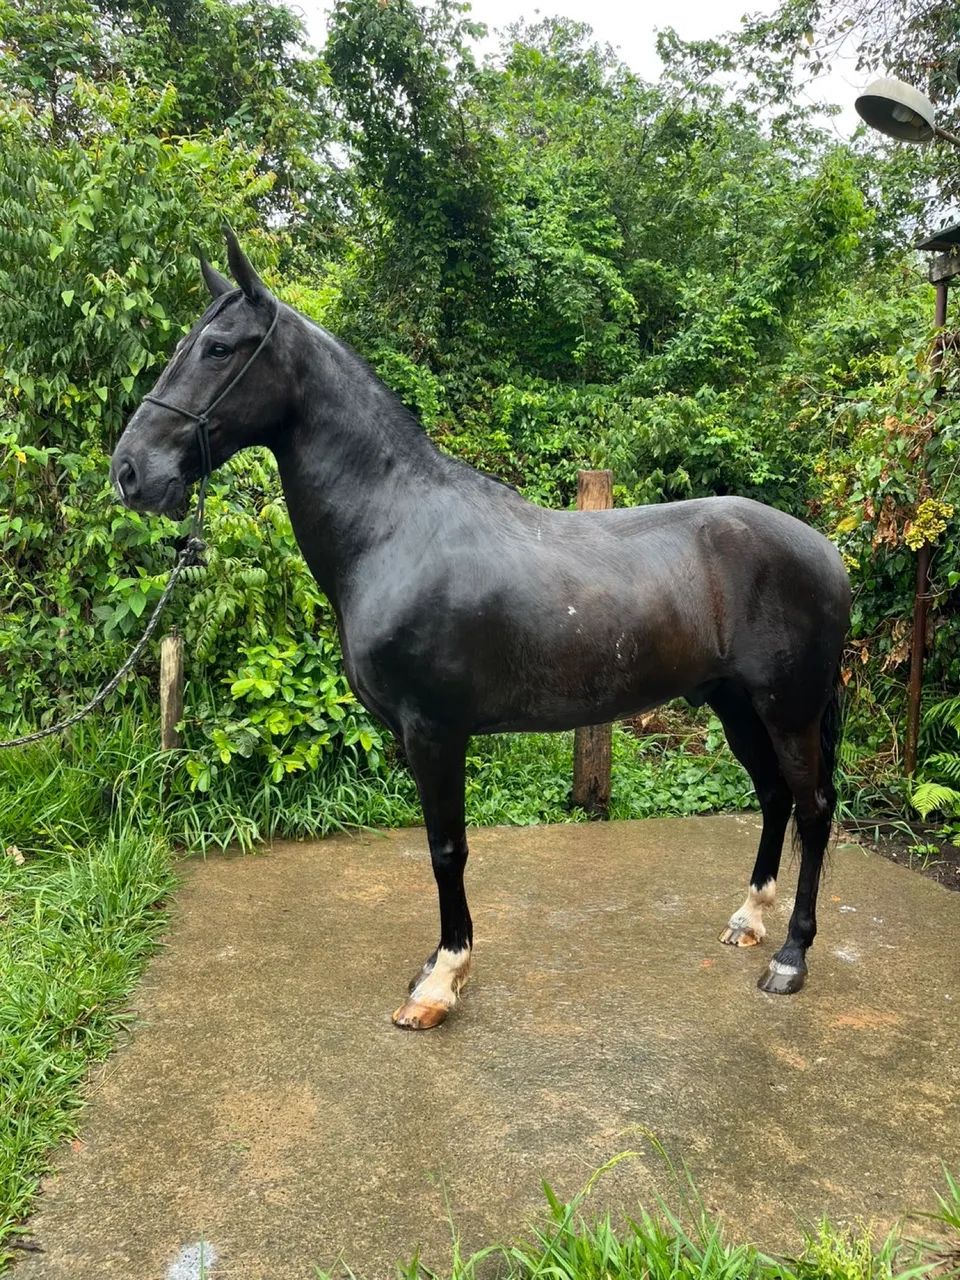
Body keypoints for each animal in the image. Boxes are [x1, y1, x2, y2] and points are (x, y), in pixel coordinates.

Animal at [111, 230, 851, 1030]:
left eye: (218, 348)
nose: (130, 471)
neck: (395, 528)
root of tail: (826, 552)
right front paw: (435, 968)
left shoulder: (436, 730)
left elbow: (446, 850)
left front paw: (441, 984)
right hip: (735, 704)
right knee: (775, 797)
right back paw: (749, 921)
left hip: (787, 709)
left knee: (813, 810)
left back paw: (791, 957)